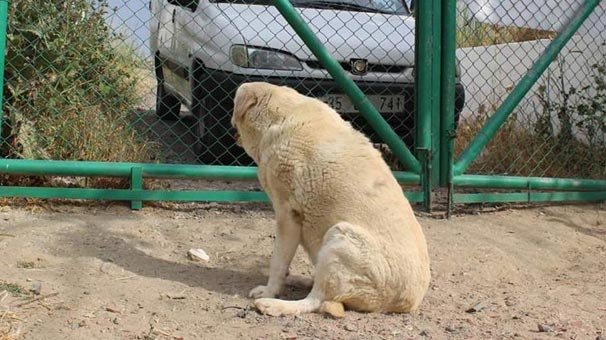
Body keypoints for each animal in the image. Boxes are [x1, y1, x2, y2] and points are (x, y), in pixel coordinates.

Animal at [232, 81, 432, 316]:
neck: (280, 118)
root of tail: (409, 303)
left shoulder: (287, 213)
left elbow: (278, 262)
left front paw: (269, 291)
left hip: (340, 237)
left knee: (315, 300)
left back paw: (274, 304)